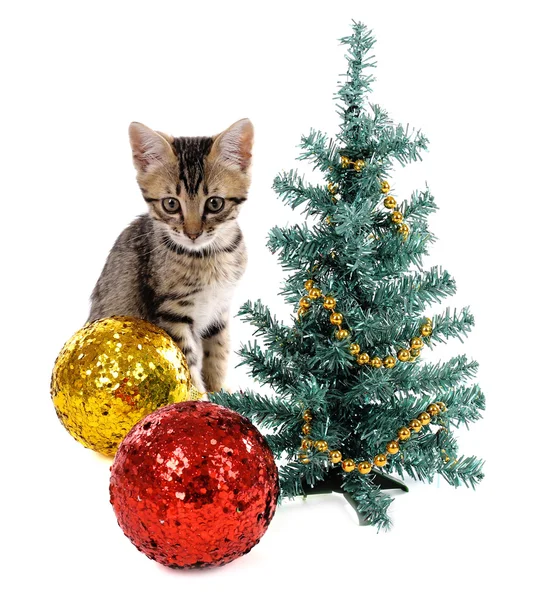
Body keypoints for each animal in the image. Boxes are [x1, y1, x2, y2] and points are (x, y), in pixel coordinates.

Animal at [88, 119, 253, 394]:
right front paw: (199, 398)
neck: (209, 256)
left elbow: (218, 352)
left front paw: (221, 393)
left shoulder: (220, 309)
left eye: (215, 203)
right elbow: (187, 363)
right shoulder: (171, 313)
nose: (193, 233)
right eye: (171, 204)